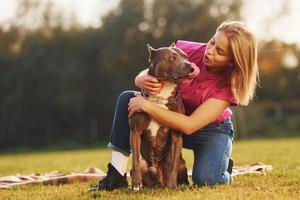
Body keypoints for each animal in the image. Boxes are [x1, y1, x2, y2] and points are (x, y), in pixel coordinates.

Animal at [129, 43, 192, 191]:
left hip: (181, 163)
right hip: (145, 164)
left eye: (186, 56)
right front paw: (136, 184)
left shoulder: (176, 136)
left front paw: (173, 185)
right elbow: (135, 160)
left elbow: (173, 165)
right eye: (172, 58)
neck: (162, 96)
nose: (191, 65)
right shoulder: (135, 131)